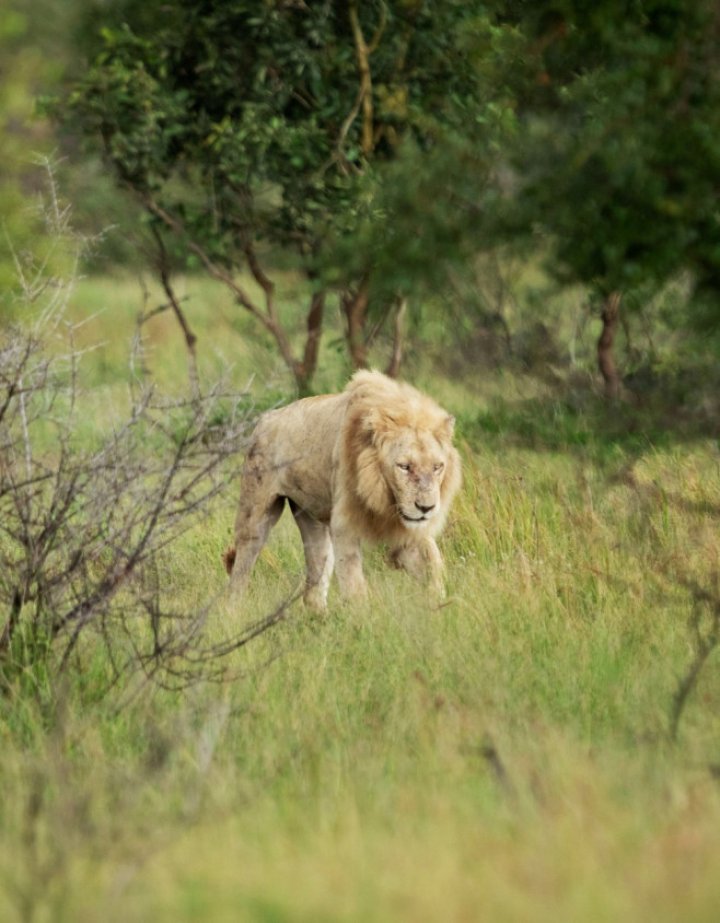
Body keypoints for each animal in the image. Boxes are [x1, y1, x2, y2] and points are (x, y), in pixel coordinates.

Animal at [224, 372, 462, 608]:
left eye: (437, 467)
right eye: (404, 466)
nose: (426, 508)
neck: (384, 496)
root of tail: (265, 418)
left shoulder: (407, 530)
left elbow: (432, 563)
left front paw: (439, 603)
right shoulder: (345, 524)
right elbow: (353, 581)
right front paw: (363, 615)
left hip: (311, 516)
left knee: (316, 567)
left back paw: (318, 614)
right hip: (255, 512)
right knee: (242, 567)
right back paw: (233, 610)